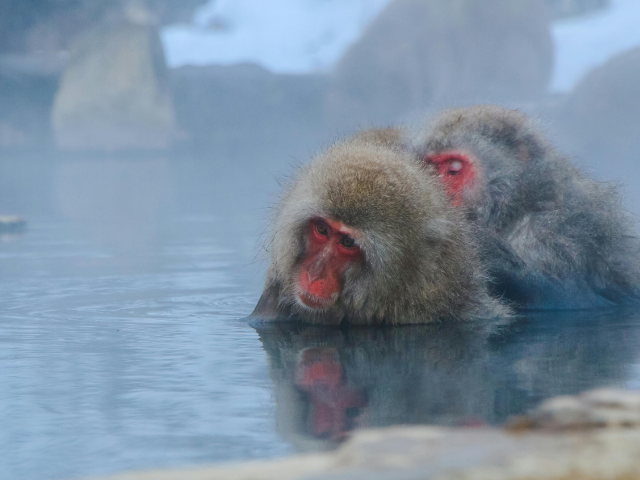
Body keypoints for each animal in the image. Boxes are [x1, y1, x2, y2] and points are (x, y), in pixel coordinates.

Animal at [418, 105, 640, 310]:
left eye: (454, 169)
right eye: (431, 168)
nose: (436, 193)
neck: (517, 205)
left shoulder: (562, 228)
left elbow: (573, 297)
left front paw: (486, 249)